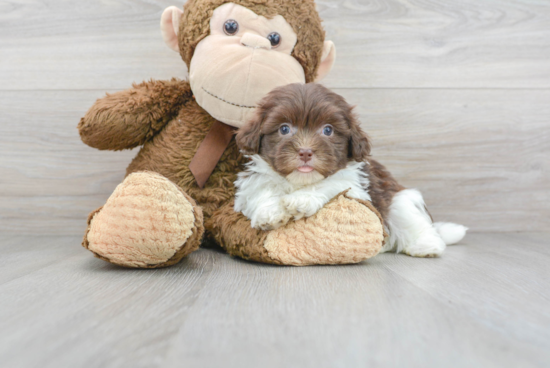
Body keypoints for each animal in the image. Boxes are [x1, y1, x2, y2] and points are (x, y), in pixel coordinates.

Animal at [235, 83, 468, 258]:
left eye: (328, 130)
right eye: (284, 128)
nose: (305, 152)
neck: (299, 181)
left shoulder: (357, 188)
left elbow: (332, 183)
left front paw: (302, 199)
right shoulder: (251, 182)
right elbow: (261, 189)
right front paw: (269, 212)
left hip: (400, 200)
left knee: (412, 220)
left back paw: (426, 246)